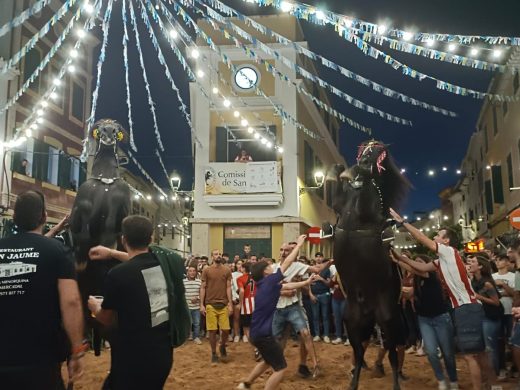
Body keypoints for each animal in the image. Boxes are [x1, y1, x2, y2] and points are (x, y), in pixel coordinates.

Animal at [334, 140, 410, 390]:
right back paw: (353, 382)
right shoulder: (341, 204)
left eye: (378, 152)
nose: (364, 162)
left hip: (387, 320)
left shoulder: (368, 207)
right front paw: (342, 170)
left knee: (393, 355)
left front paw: (356, 174)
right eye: (365, 149)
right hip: (352, 322)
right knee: (359, 353)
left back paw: (395, 383)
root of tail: (369, 311)